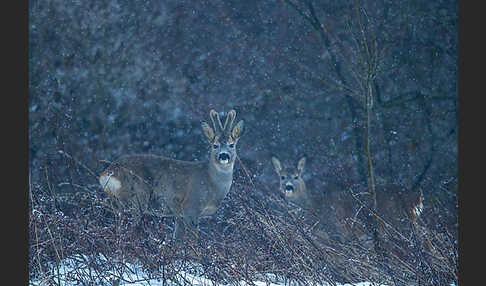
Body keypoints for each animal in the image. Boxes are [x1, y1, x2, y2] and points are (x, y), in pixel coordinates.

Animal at [98, 109, 243, 239]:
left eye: (232, 144)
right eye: (215, 145)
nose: (223, 156)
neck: (211, 182)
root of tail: (108, 172)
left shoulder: (179, 215)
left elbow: (176, 239)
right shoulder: (191, 206)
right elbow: (191, 239)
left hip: (119, 201)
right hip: (137, 197)